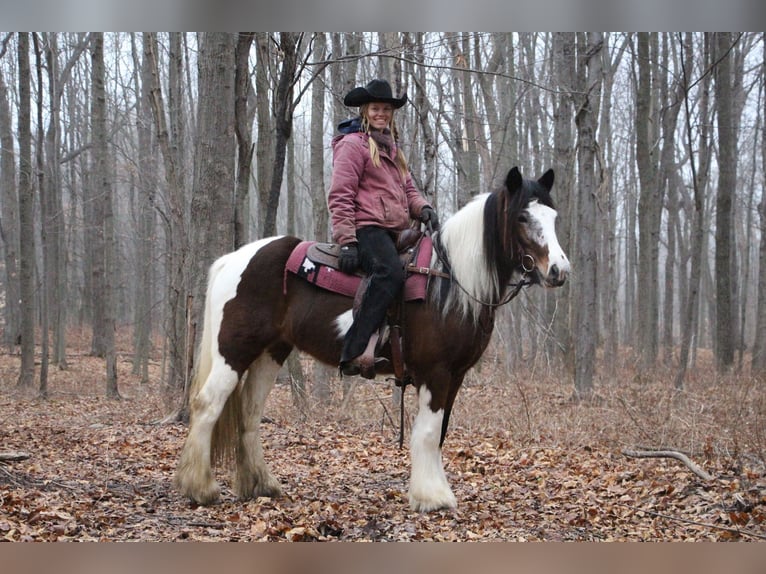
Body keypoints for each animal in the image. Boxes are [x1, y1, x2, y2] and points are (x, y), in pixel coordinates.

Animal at [174, 166, 568, 512]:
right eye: (522, 217)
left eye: (552, 216)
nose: (559, 271)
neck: (449, 280)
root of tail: (233, 259)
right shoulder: (435, 373)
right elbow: (427, 433)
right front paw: (432, 498)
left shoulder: (455, 376)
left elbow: (439, 434)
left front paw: (433, 491)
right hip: (233, 351)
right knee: (207, 404)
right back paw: (200, 488)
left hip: (270, 353)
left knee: (250, 413)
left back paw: (261, 484)